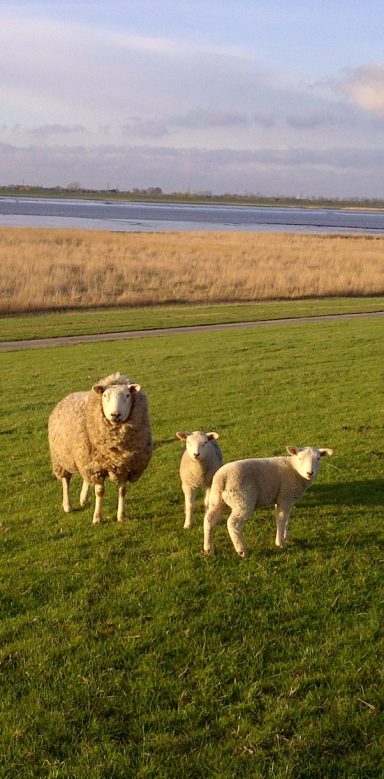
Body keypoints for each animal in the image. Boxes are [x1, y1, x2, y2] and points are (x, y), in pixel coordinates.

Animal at [47, 374, 151, 524]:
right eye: (105, 395)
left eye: (127, 395)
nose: (115, 415)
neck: (115, 449)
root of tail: (69, 395)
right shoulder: (97, 469)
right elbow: (100, 492)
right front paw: (97, 517)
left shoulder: (124, 467)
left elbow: (122, 491)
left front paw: (121, 516)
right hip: (62, 457)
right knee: (66, 481)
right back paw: (67, 505)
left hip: (86, 458)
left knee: (85, 478)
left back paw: (83, 499)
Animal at [202, 444, 332, 560]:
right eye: (300, 458)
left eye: (318, 459)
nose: (310, 473)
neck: (294, 470)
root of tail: (222, 478)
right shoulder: (285, 497)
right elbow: (281, 519)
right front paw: (280, 543)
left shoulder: (284, 499)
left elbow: (286, 519)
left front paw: (286, 537)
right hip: (242, 500)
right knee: (233, 523)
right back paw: (242, 550)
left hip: (217, 500)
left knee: (209, 520)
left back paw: (208, 549)